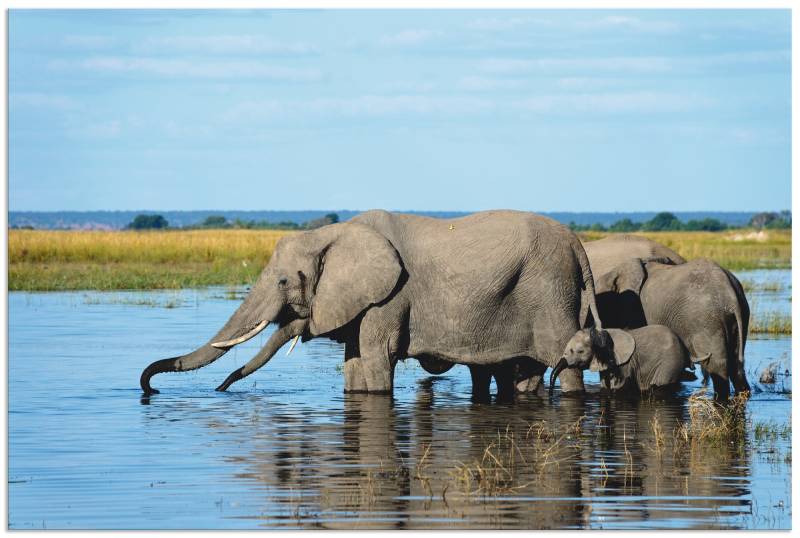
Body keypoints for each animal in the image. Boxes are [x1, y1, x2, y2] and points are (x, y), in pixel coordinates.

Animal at [141, 208, 600, 394]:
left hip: (549, 290)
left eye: (284, 280)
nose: (149, 388)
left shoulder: (389, 298)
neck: (333, 233)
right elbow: (353, 363)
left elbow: (378, 360)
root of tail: (577, 244)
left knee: (564, 364)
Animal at [548, 322, 704, 394]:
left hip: (671, 362)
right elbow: (605, 386)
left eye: (580, 351)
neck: (600, 334)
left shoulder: (625, 363)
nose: (551, 396)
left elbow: (619, 386)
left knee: (662, 384)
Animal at [592, 258, 752, 400]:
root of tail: (730, 293)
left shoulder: (633, 308)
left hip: (706, 320)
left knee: (717, 365)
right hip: (740, 315)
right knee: (737, 365)